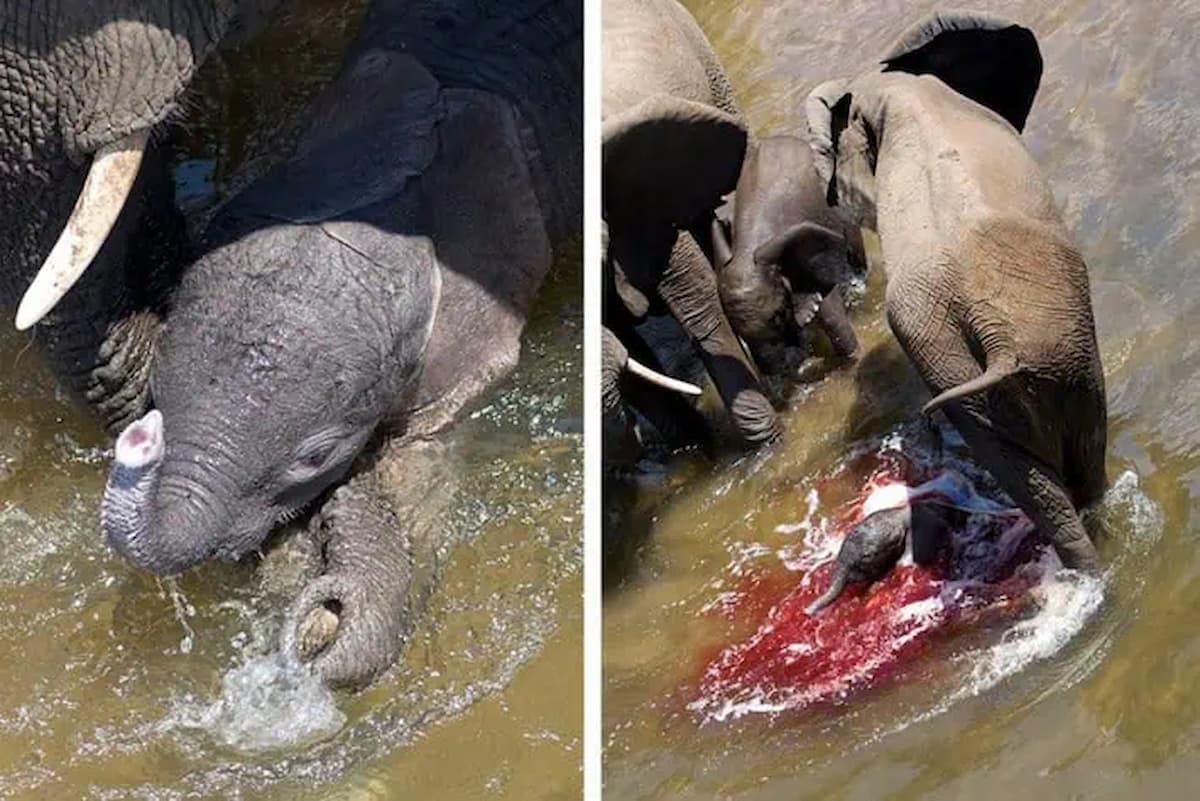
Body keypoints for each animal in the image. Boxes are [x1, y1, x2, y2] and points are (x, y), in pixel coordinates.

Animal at [806, 14, 1104, 575]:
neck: (887, 89)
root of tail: (997, 337)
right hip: (1038, 353)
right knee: (1079, 463)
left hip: (1002, 362)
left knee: (1038, 480)